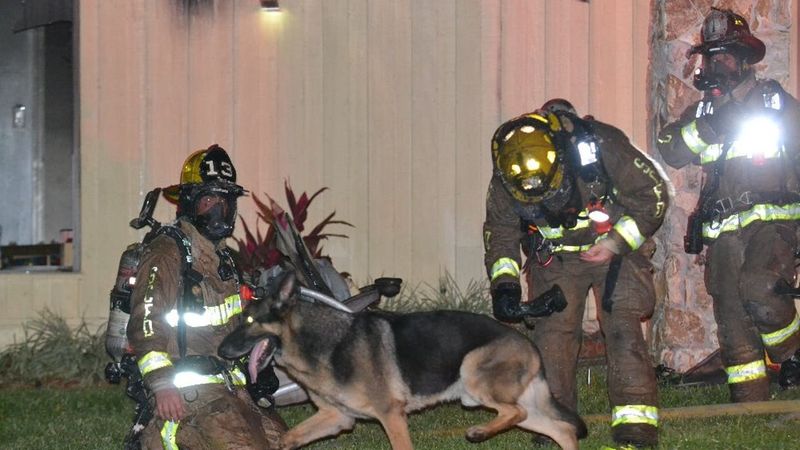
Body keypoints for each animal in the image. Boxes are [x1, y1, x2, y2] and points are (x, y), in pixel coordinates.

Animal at [219, 270, 588, 450]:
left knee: (517, 413)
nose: (220, 352)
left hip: (473, 374)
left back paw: (479, 432)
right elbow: (287, 439)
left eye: (249, 321)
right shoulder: (338, 418)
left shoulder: (391, 415)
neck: (323, 343)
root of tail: (529, 343)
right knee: (561, 430)